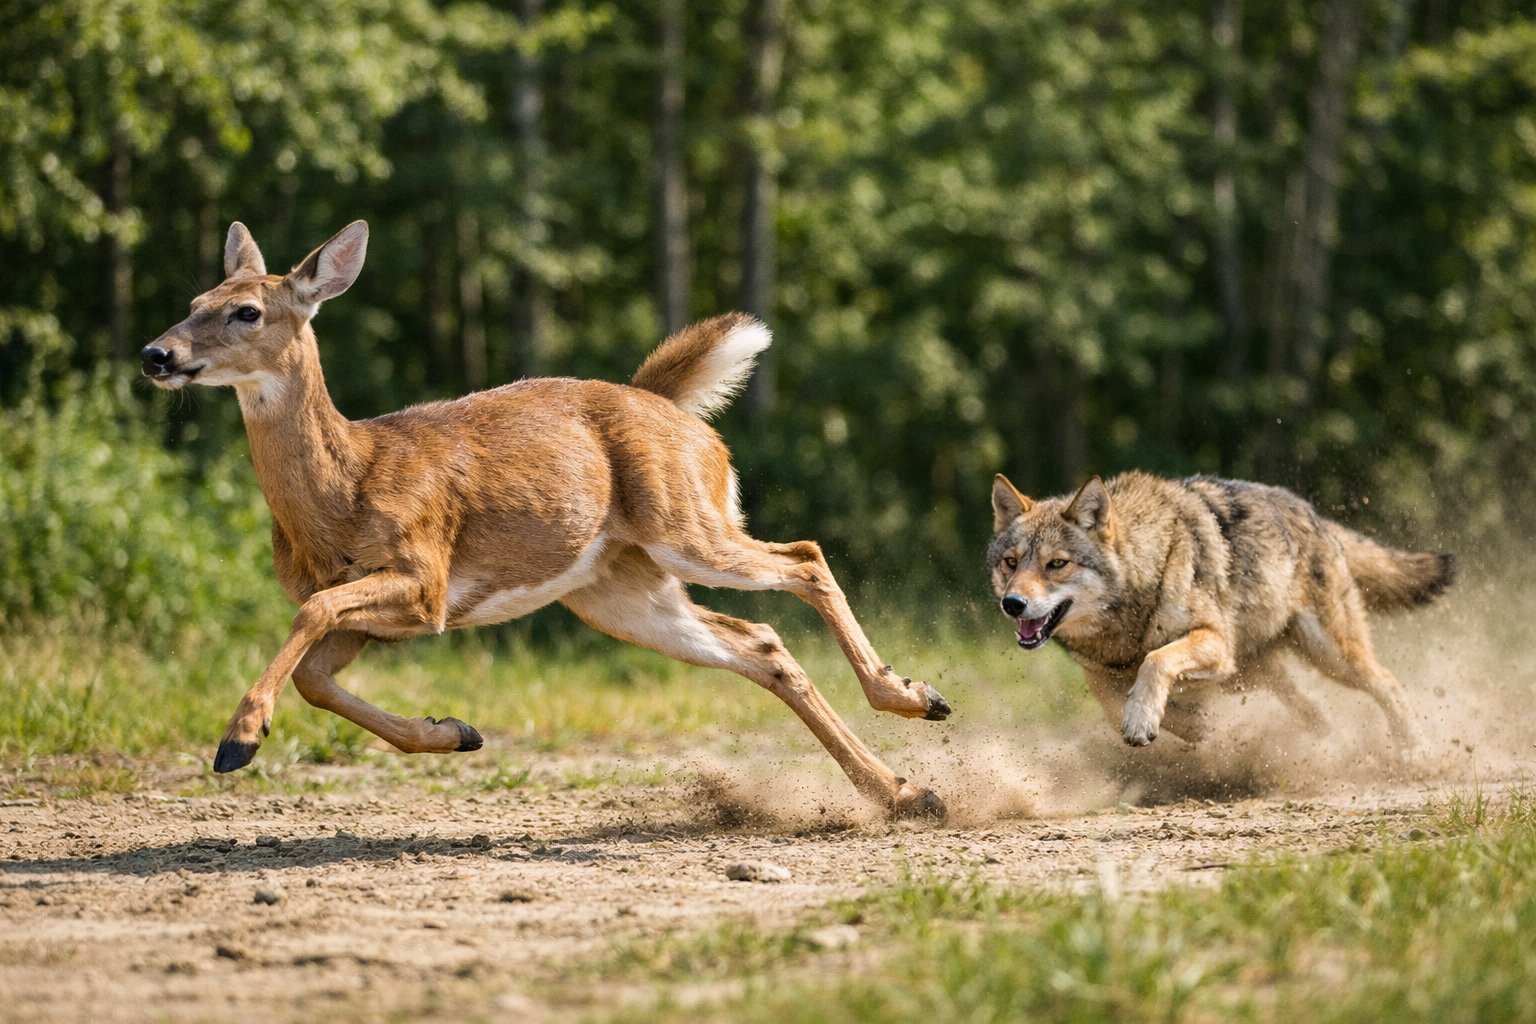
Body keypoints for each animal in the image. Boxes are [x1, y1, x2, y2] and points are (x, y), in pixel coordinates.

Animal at [139, 221, 950, 818]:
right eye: (194, 297)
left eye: (246, 310)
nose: (156, 352)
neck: (345, 487)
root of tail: (668, 406)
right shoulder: (374, 617)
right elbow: (313, 673)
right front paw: (453, 732)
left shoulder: (425, 580)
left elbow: (309, 616)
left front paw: (238, 740)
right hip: (617, 590)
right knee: (762, 643)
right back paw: (907, 789)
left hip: (686, 526)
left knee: (804, 558)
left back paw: (912, 701)